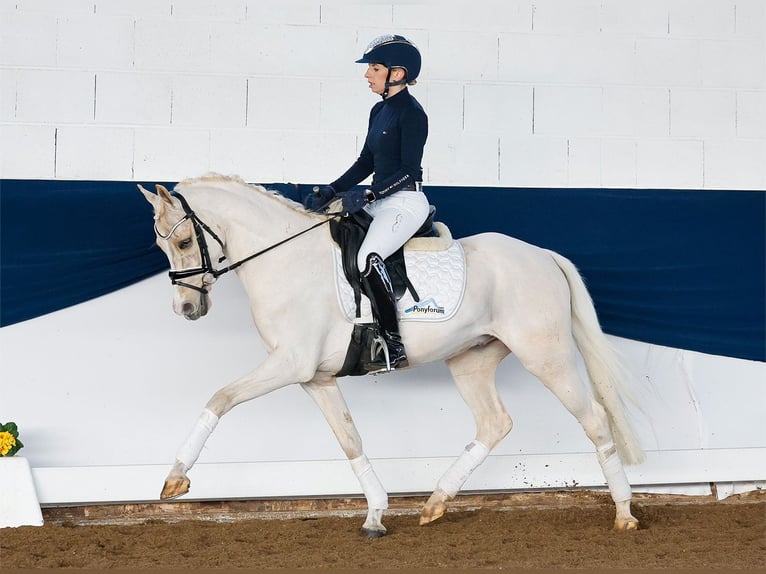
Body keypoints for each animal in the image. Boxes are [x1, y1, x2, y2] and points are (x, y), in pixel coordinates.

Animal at [140, 173, 648, 536]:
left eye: (183, 242)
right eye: (161, 244)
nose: (186, 309)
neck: (285, 260)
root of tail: (543, 255)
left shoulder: (289, 364)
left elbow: (220, 398)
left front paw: (175, 479)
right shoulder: (314, 377)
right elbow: (350, 440)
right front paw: (375, 516)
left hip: (547, 355)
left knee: (595, 418)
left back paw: (624, 514)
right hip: (471, 360)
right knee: (495, 423)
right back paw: (436, 503)